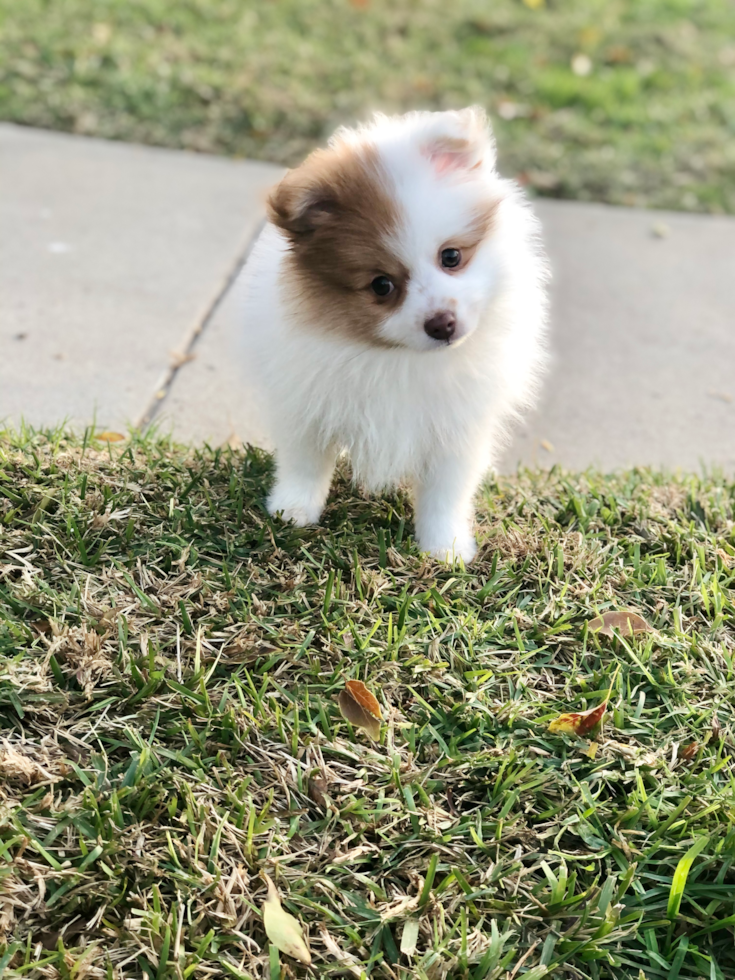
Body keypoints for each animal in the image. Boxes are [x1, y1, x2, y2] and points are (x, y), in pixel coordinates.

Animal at [244, 108, 548, 564]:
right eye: (381, 286)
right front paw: (293, 510)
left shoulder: (456, 426)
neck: (401, 358)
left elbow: (446, 493)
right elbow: (305, 462)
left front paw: (445, 547)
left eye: (451, 256)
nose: (442, 323)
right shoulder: (307, 401)